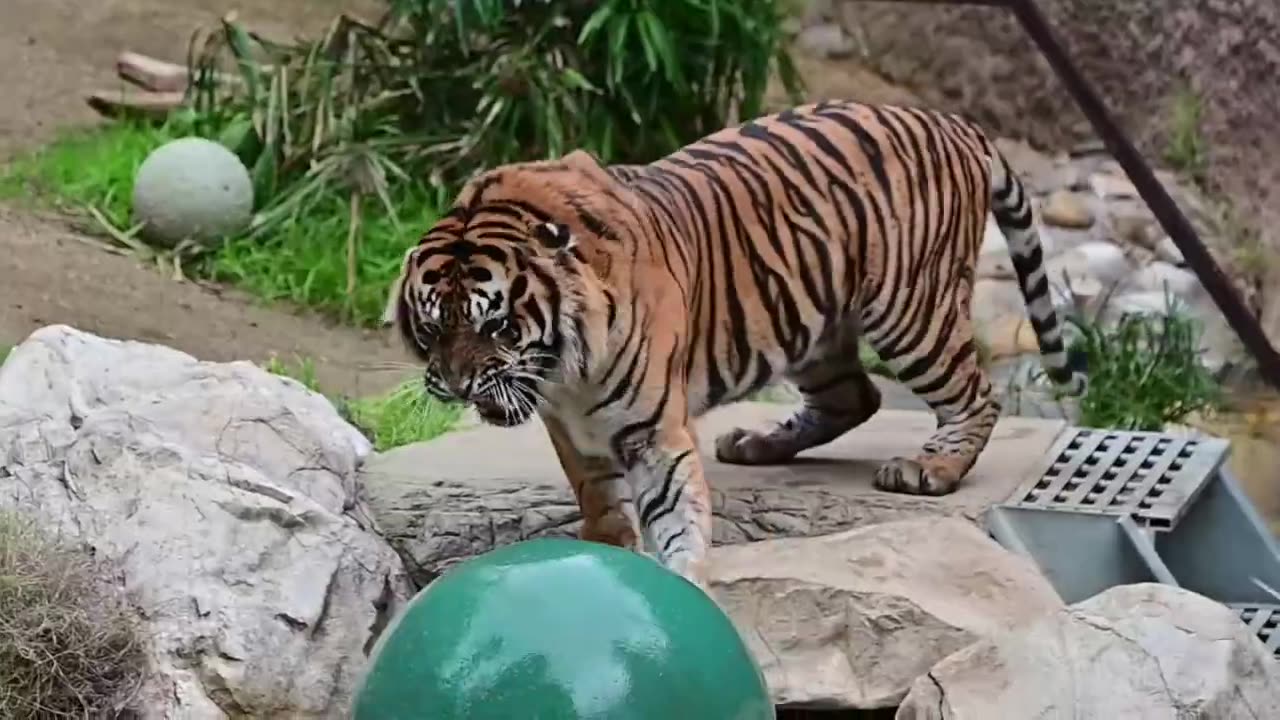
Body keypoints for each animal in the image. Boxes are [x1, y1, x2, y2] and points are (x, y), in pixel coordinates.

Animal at [384, 98, 1085, 589]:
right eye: (434, 327)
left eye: (497, 326)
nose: (459, 385)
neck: (565, 371)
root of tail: (956, 123)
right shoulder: (570, 426)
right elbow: (599, 496)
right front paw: (608, 548)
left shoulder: (649, 425)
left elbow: (673, 506)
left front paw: (684, 579)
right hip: (808, 323)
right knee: (855, 396)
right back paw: (758, 443)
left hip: (912, 310)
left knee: (975, 394)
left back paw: (930, 468)